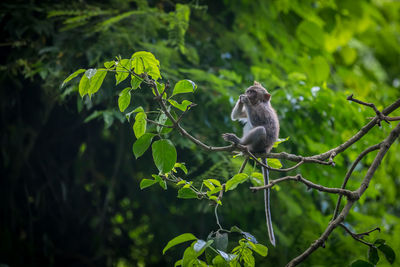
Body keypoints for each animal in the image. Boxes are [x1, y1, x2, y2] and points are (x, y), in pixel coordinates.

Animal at [223, 81, 280, 247]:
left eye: (253, 93)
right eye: (249, 90)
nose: (247, 94)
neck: (259, 103)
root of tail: (265, 150)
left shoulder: (261, 110)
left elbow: (257, 122)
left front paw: (246, 101)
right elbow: (236, 116)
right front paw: (241, 100)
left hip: (260, 143)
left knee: (260, 129)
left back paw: (240, 143)